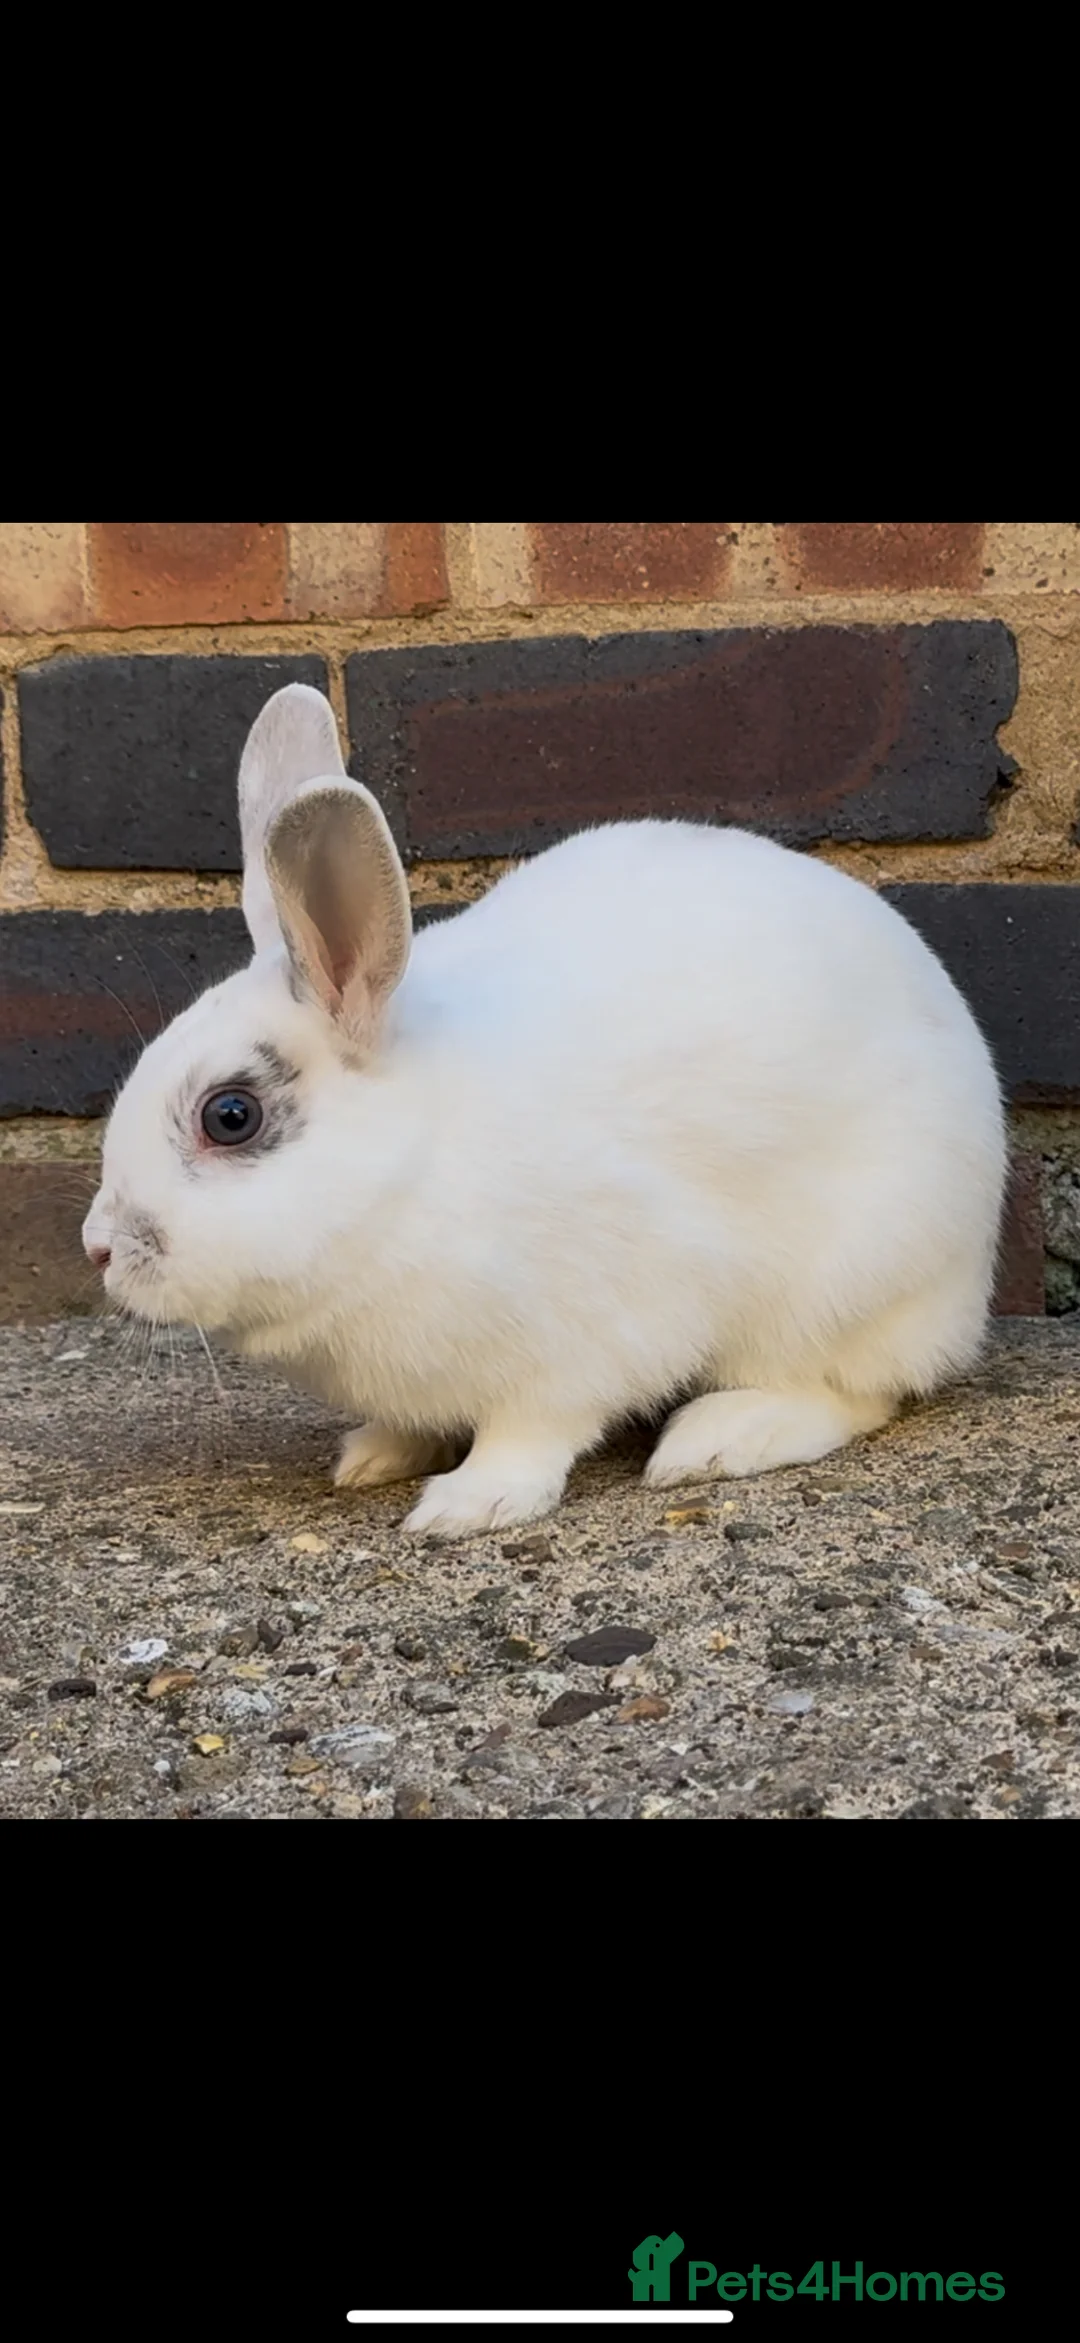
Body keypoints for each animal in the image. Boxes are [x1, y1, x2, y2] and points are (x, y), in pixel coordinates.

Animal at [83, 681, 1006, 1540]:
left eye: (230, 1115)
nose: (98, 1247)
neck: (408, 1176)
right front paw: (376, 1453)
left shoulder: (585, 1339)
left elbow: (533, 1429)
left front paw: (470, 1502)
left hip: (847, 1283)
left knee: (859, 1391)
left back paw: (719, 1437)